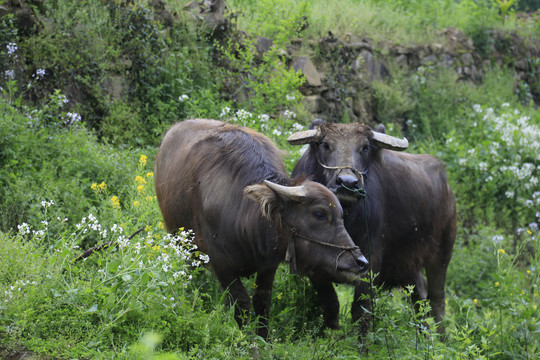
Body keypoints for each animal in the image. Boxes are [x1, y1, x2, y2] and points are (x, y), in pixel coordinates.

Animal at [154, 119, 370, 338]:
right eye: (319, 214)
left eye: (341, 216)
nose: (360, 262)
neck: (244, 218)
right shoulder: (221, 263)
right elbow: (241, 303)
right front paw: (248, 340)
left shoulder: (268, 265)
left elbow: (262, 301)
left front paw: (262, 337)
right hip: (185, 246)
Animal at [286, 121, 456, 334]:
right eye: (325, 144)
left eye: (365, 147)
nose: (347, 183)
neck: (345, 217)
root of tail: (447, 187)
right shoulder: (313, 265)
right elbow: (330, 304)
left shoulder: (370, 260)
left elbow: (361, 310)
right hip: (410, 263)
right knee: (419, 296)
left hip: (442, 252)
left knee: (437, 298)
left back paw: (441, 339)